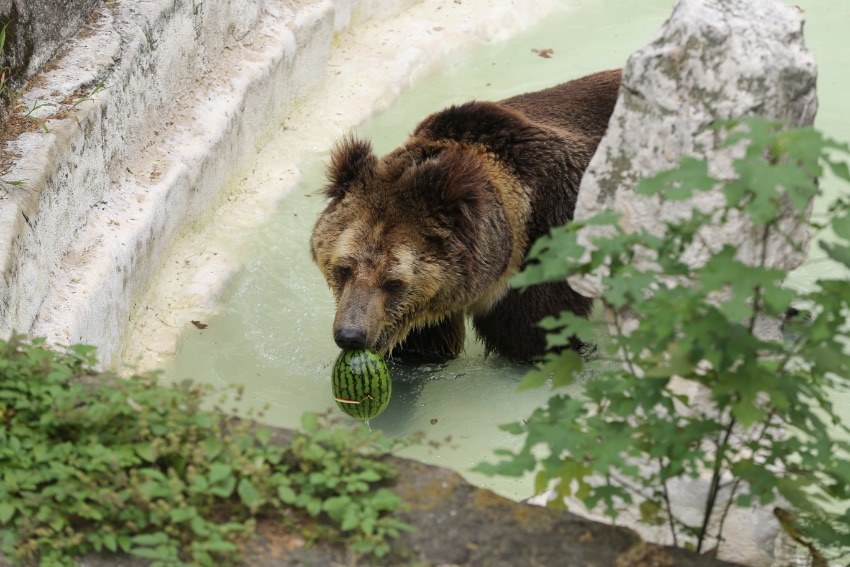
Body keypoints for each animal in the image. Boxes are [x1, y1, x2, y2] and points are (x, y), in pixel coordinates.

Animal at [308, 69, 620, 362]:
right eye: (343, 268)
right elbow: (420, 351)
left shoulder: (544, 247)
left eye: (393, 282)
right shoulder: (423, 307)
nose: (351, 335)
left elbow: (535, 337)